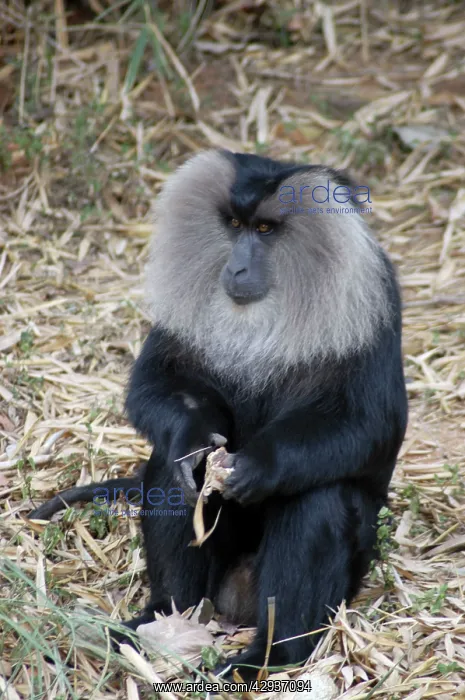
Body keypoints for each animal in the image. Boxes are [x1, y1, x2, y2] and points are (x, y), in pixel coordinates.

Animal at [31, 150, 408, 679]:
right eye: (233, 225)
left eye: (266, 229)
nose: (238, 267)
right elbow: (156, 385)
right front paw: (194, 441)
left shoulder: (373, 299)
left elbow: (370, 424)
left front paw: (260, 466)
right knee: (170, 470)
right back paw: (159, 618)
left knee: (319, 495)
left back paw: (272, 654)